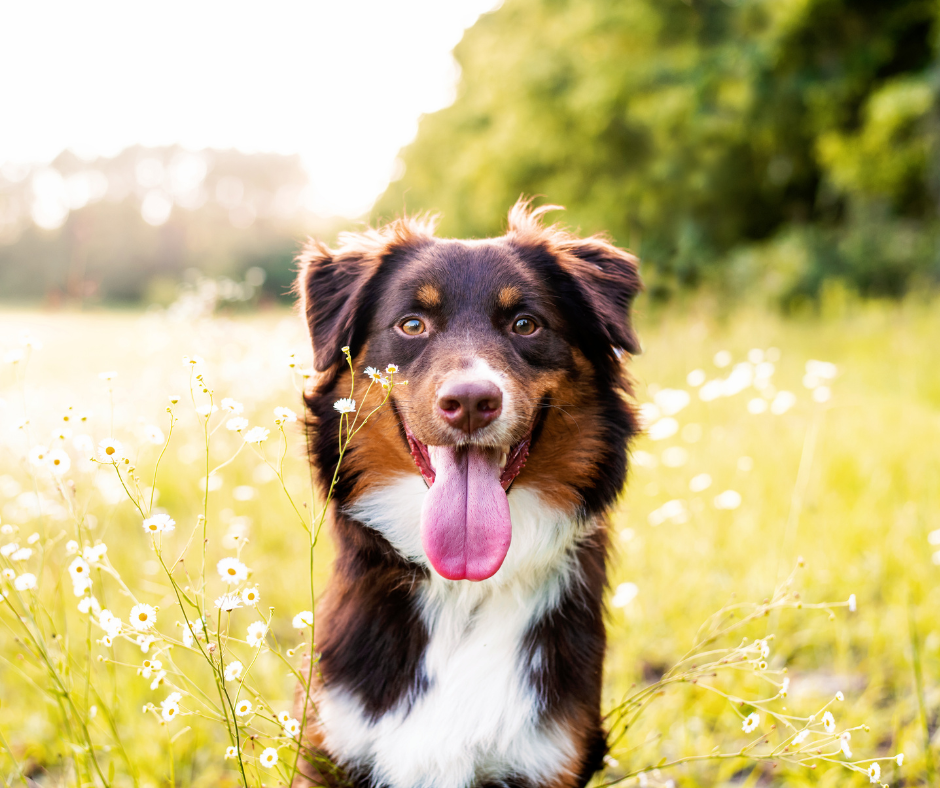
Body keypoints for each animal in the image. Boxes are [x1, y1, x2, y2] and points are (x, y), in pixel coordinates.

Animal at [294, 202, 644, 788]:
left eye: (525, 324)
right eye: (412, 324)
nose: (472, 402)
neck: (462, 592)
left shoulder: (546, 758)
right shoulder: (332, 745)